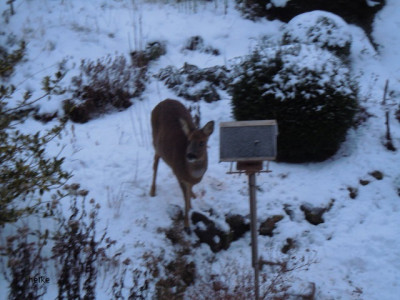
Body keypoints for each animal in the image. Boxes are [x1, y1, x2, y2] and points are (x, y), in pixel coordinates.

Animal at [150, 98, 214, 232]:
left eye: (202, 142)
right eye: (188, 141)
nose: (190, 155)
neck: (193, 174)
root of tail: (164, 100)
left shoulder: (188, 180)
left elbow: (189, 193)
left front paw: (192, 200)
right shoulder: (179, 175)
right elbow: (185, 199)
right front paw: (186, 224)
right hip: (155, 142)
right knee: (155, 162)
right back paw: (152, 191)